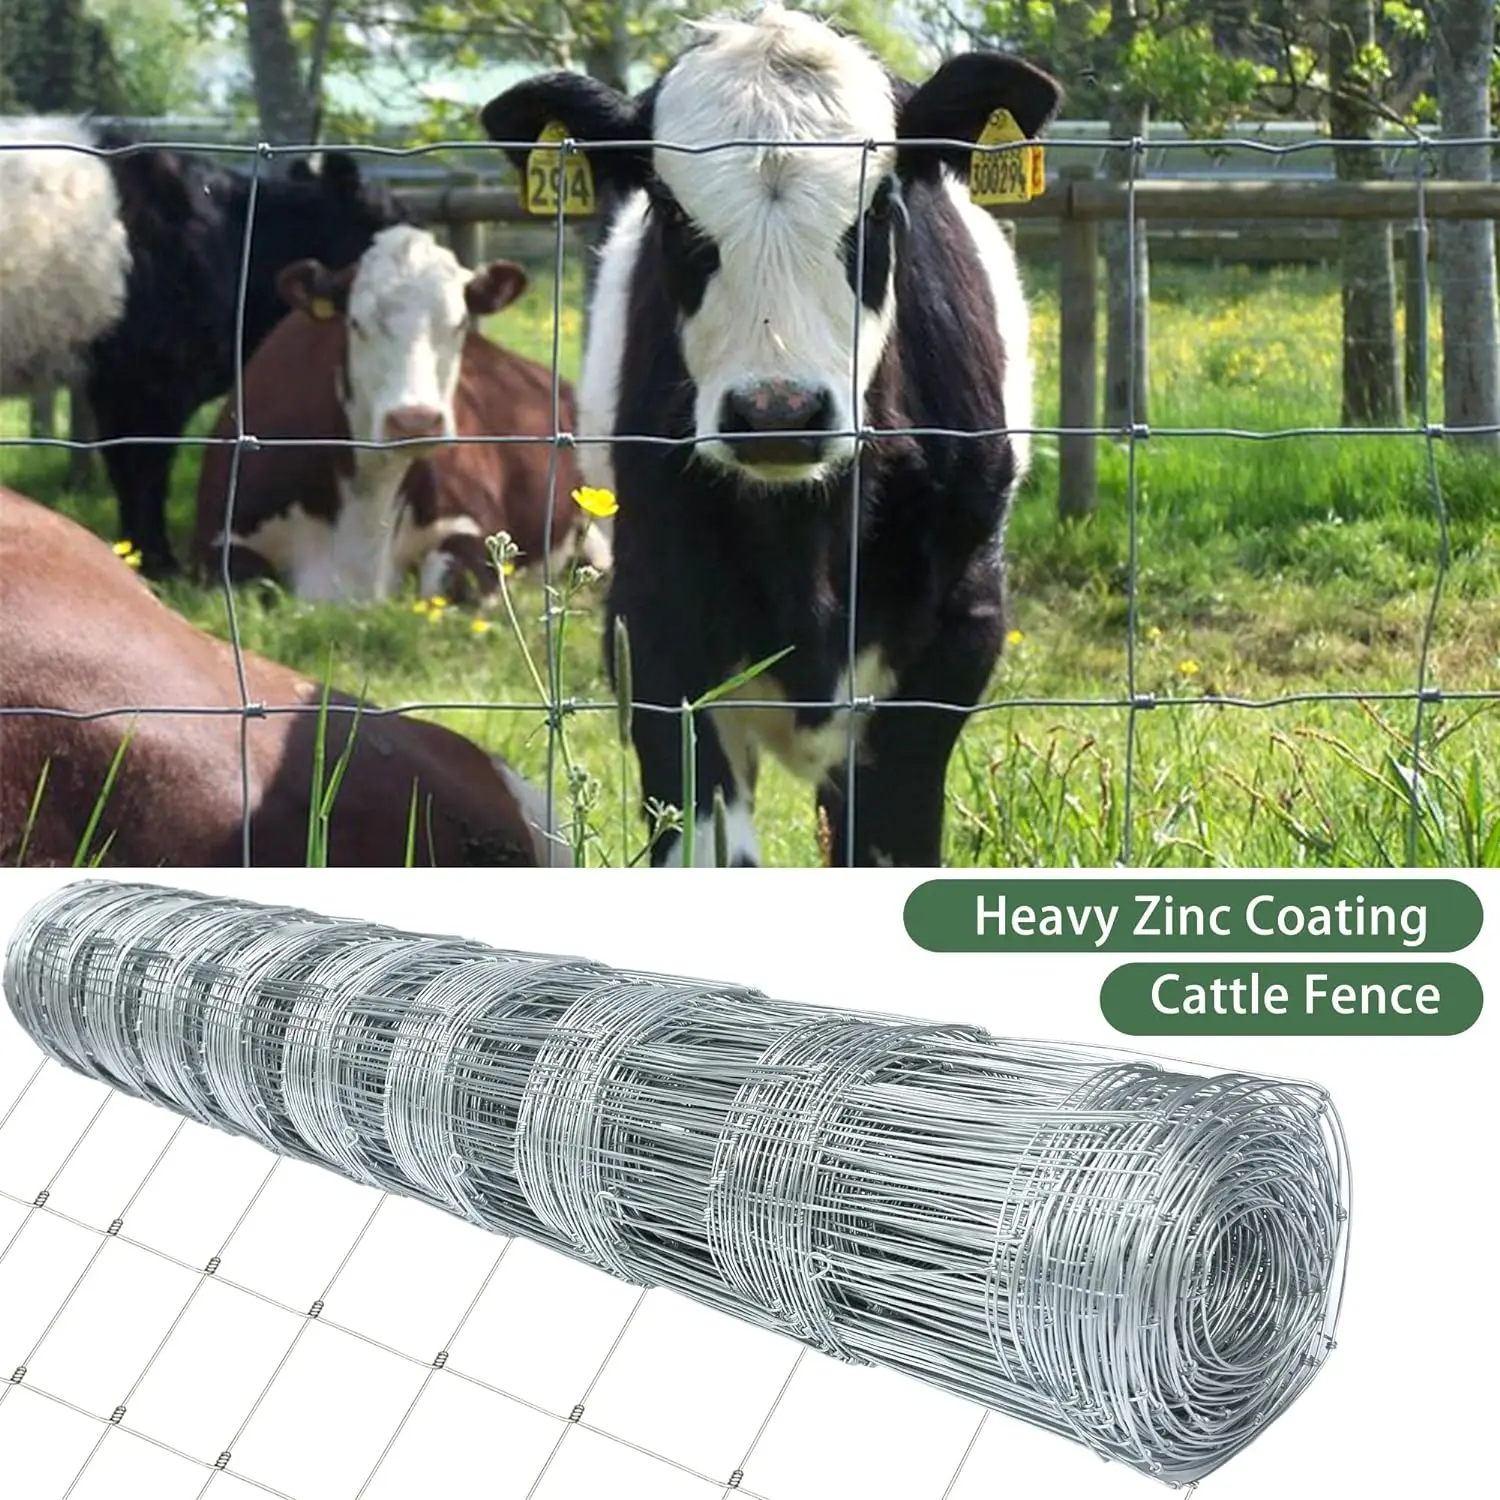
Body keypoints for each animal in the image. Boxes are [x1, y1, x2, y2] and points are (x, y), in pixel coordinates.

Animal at [192, 224, 605, 601]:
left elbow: (450, 587)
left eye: (459, 324)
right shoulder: (219, 541)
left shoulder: (473, 524)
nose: (415, 419)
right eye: (356, 323)